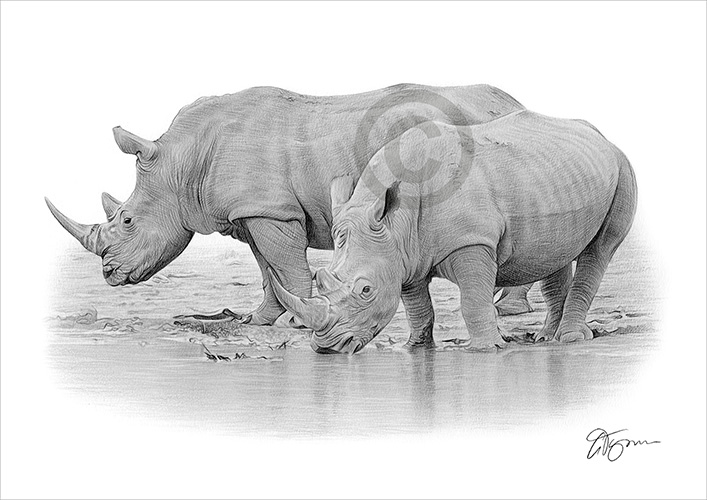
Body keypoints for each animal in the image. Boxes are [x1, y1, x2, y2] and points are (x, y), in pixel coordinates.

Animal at [45, 84, 531, 327]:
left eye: (127, 220)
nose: (109, 275)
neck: (182, 161)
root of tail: (512, 102)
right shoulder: (252, 212)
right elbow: (267, 268)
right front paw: (258, 319)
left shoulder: (270, 210)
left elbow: (286, 264)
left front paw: (298, 322)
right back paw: (510, 306)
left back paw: (508, 309)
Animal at [270, 111, 637, 354]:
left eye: (365, 290)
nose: (326, 347)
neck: (395, 220)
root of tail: (603, 137)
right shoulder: (405, 253)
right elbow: (417, 306)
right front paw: (415, 347)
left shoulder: (471, 242)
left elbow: (472, 301)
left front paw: (487, 349)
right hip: (554, 175)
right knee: (554, 252)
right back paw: (548, 338)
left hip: (622, 166)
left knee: (600, 250)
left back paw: (570, 339)